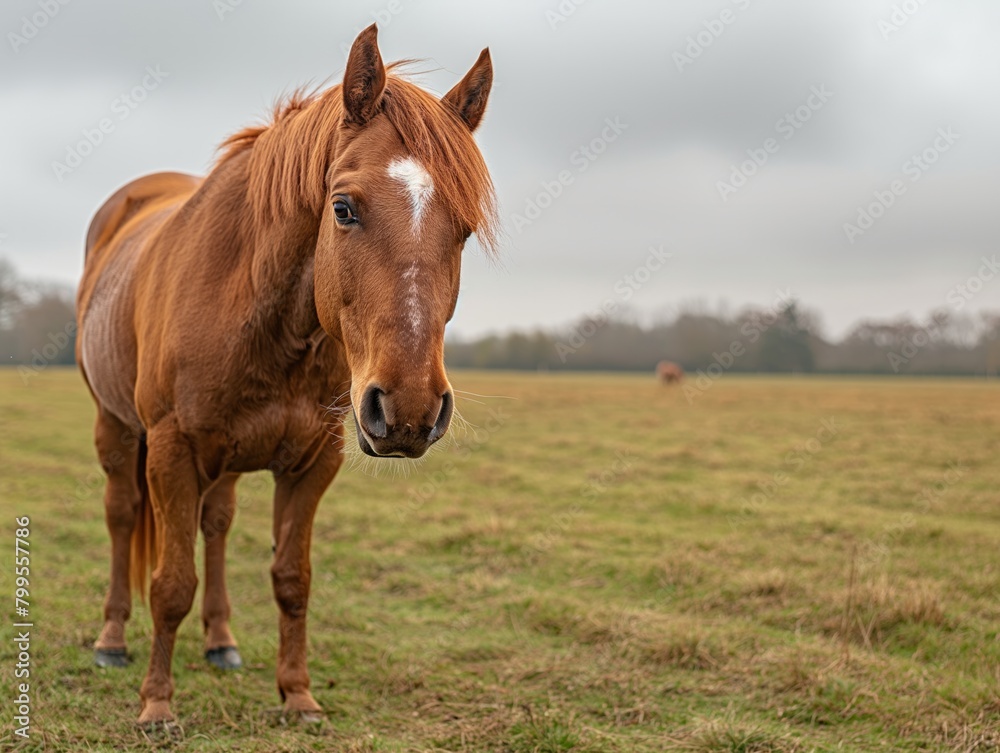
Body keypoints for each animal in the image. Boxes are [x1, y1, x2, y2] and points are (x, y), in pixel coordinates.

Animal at [76, 25, 498, 728]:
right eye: (344, 208)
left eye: (464, 230)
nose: (409, 409)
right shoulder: (171, 451)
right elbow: (171, 583)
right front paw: (157, 704)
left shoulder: (311, 463)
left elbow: (292, 580)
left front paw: (297, 694)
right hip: (116, 428)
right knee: (121, 515)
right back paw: (110, 640)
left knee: (215, 524)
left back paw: (221, 642)